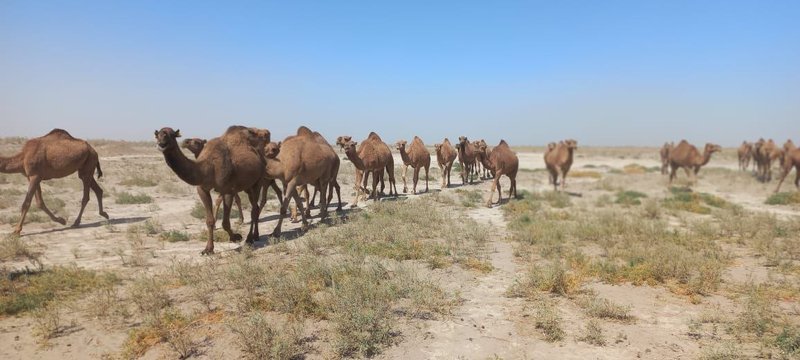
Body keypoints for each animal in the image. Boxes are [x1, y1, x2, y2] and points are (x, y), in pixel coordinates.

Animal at [155, 125, 266, 255]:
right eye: (157, 135)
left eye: (171, 135)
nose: (161, 144)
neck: (207, 167)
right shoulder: (202, 189)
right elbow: (209, 220)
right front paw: (208, 249)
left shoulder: (228, 190)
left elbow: (225, 222)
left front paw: (236, 237)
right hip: (248, 186)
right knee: (255, 207)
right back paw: (255, 236)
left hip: (258, 182)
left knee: (254, 209)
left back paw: (250, 238)